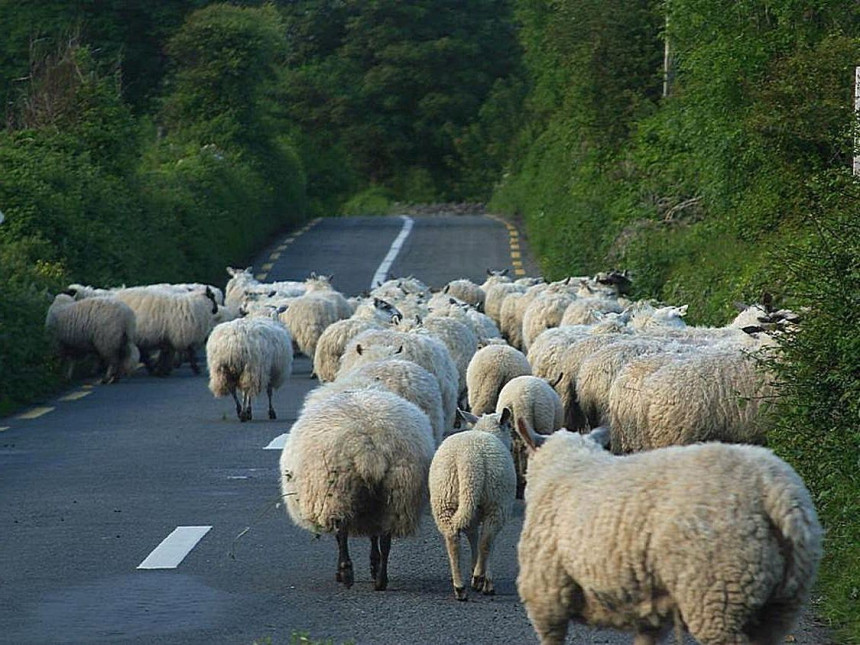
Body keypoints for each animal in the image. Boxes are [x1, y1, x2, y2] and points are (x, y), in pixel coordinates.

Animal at [280, 388, 434, 588]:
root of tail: (369, 448)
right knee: (385, 538)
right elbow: (374, 536)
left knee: (341, 532)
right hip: (397, 493)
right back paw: (380, 579)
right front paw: (373, 564)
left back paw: (346, 573)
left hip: (337, 492)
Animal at [426, 408, 512, 600]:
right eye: (509, 426)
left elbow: (473, 537)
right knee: (487, 539)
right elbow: (487, 543)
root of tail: (469, 459)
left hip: (446, 498)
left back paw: (460, 587)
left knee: (452, 539)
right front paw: (485, 579)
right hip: (496, 501)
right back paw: (479, 577)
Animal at [512, 422, 824, 644]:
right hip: (780, 605)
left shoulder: (547, 597)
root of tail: (776, 489)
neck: (564, 466)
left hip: (718, 595)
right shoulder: (647, 611)